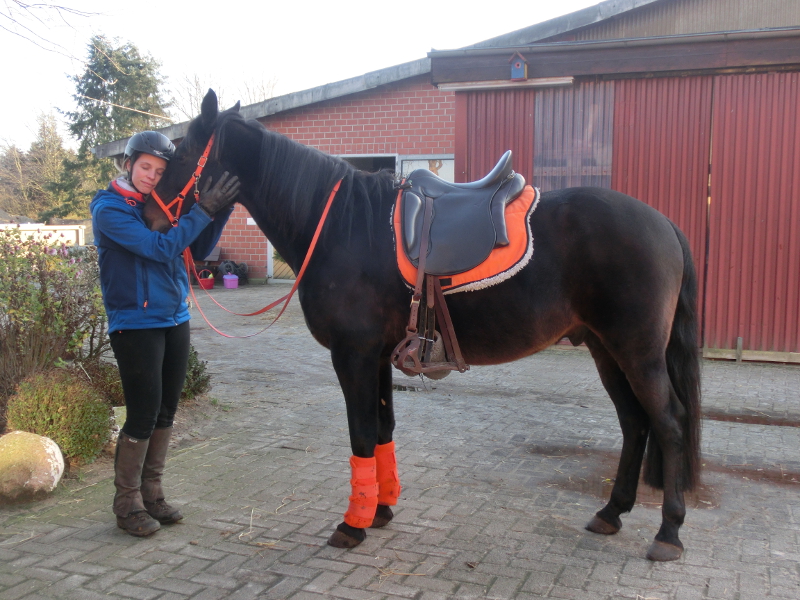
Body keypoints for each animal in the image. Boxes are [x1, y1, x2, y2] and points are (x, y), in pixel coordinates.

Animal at [149, 90, 701, 562]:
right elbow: (382, 430)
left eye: (181, 153)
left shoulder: (352, 355)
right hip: (606, 349)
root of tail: (665, 224)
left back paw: (669, 532)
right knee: (635, 423)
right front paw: (380, 509)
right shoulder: (376, 356)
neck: (343, 225)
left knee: (669, 423)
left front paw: (352, 524)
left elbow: (360, 434)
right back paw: (612, 512)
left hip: (637, 351)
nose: (151, 220)